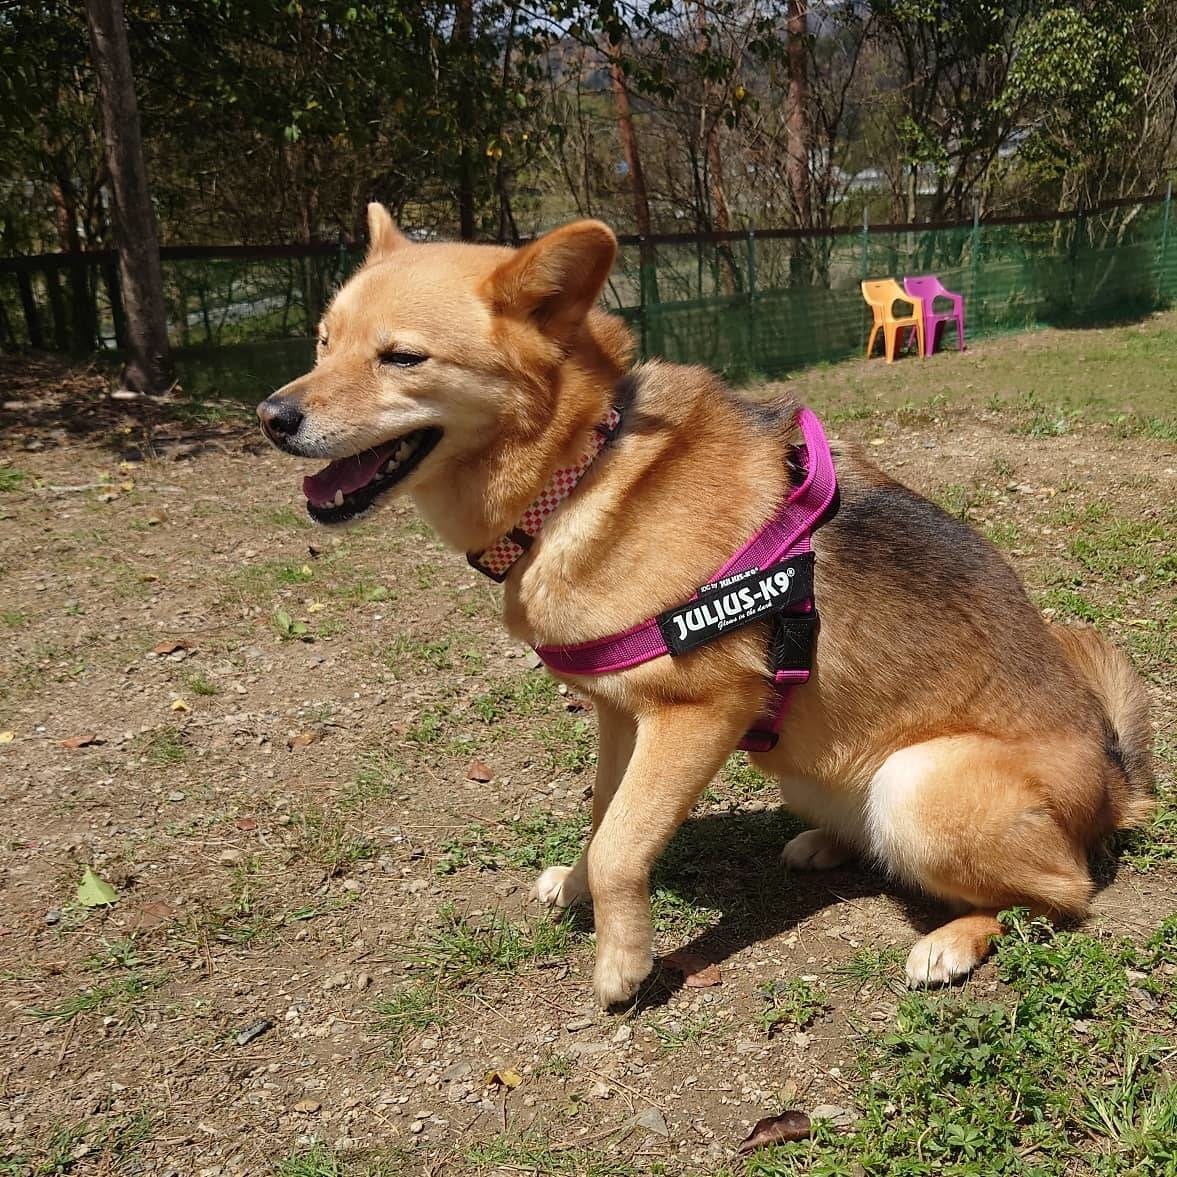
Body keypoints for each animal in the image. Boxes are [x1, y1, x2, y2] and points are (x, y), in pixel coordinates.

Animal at [257, 207, 1148, 1007]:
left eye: (402, 357)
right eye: (323, 341)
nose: (270, 416)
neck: (581, 469)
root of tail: (1114, 779)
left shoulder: (698, 711)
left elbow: (622, 844)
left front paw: (621, 965)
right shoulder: (620, 712)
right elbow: (602, 817)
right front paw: (577, 888)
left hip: (918, 784)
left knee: (1059, 895)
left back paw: (952, 940)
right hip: (813, 775)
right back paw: (828, 842)